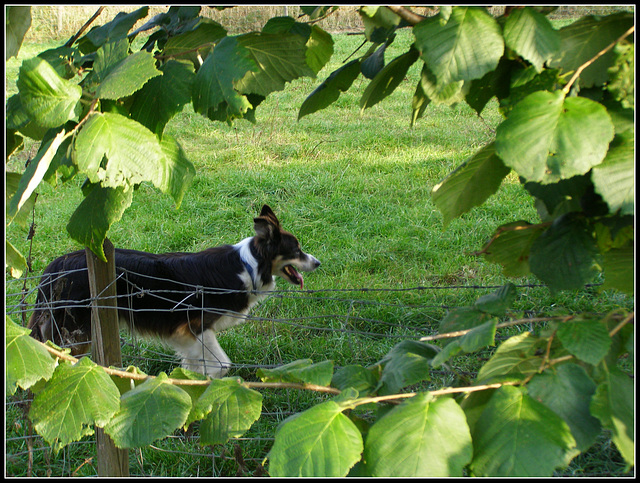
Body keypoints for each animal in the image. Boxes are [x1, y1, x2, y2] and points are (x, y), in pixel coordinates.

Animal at [26, 204, 320, 378]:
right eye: (296, 250)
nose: (318, 262)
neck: (248, 266)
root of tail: (55, 266)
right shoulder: (195, 326)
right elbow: (222, 365)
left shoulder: (186, 336)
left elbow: (197, 364)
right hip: (74, 331)